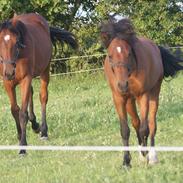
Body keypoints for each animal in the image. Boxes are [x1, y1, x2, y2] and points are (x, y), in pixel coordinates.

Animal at [0, 12, 78, 154]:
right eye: (0, 42)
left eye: (16, 42)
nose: (8, 72)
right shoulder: (7, 83)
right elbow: (14, 110)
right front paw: (19, 135)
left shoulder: (26, 78)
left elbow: (22, 113)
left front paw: (23, 146)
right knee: (31, 93)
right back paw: (35, 124)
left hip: (45, 71)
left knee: (42, 97)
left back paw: (43, 131)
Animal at [100, 19, 183, 167]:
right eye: (110, 56)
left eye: (129, 53)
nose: (122, 85)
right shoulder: (119, 98)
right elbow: (125, 130)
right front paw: (126, 162)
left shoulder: (143, 95)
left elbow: (145, 128)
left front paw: (147, 155)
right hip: (129, 100)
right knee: (136, 123)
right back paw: (141, 154)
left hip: (154, 93)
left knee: (151, 124)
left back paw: (152, 156)